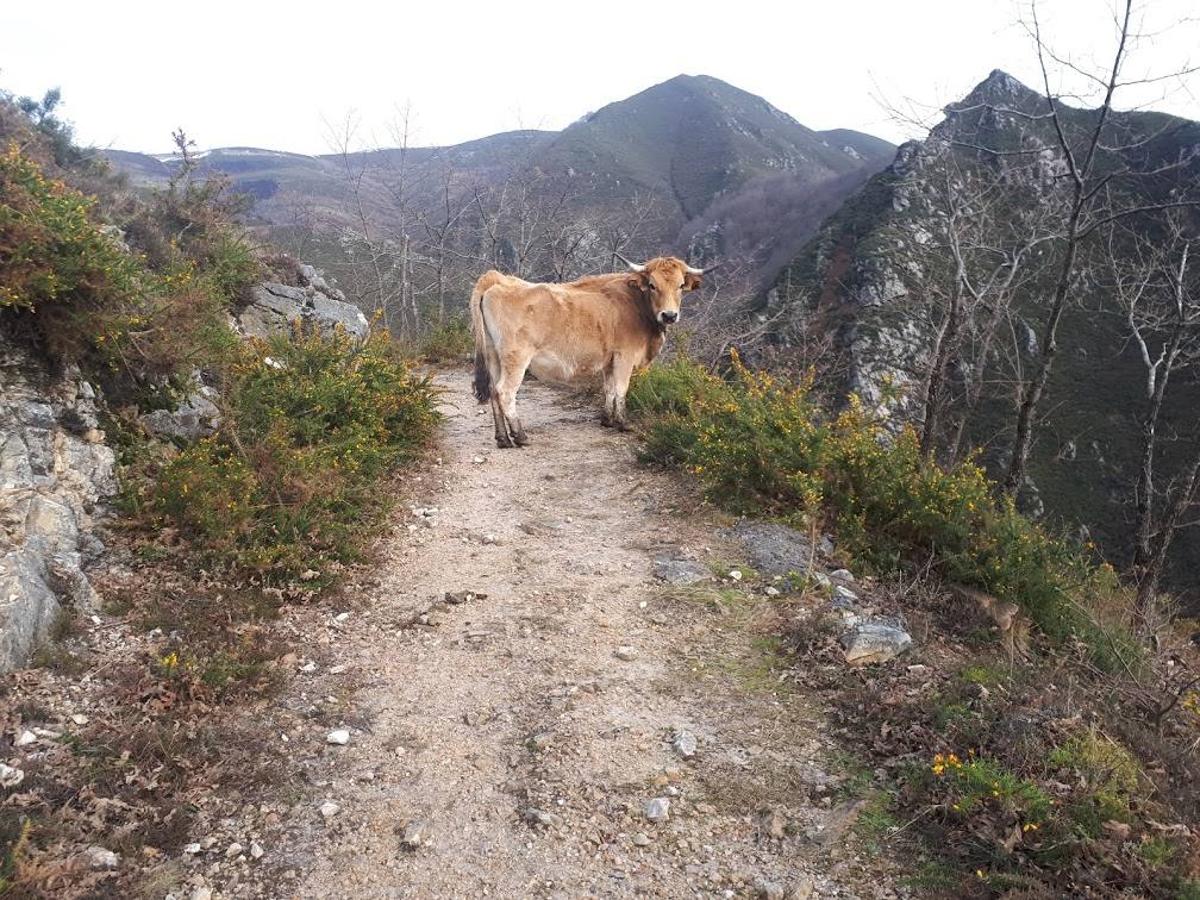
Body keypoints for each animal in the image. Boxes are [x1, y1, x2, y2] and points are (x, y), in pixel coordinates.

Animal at [468, 255, 710, 448]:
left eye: (680, 285)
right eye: (652, 284)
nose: (669, 315)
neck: (637, 304)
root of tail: (498, 278)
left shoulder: (609, 359)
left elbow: (609, 388)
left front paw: (607, 419)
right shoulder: (624, 356)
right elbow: (621, 389)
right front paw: (623, 423)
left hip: (493, 355)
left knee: (493, 391)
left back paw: (502, 438)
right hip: (516, 357)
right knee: (505, 392)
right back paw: (520, 436)